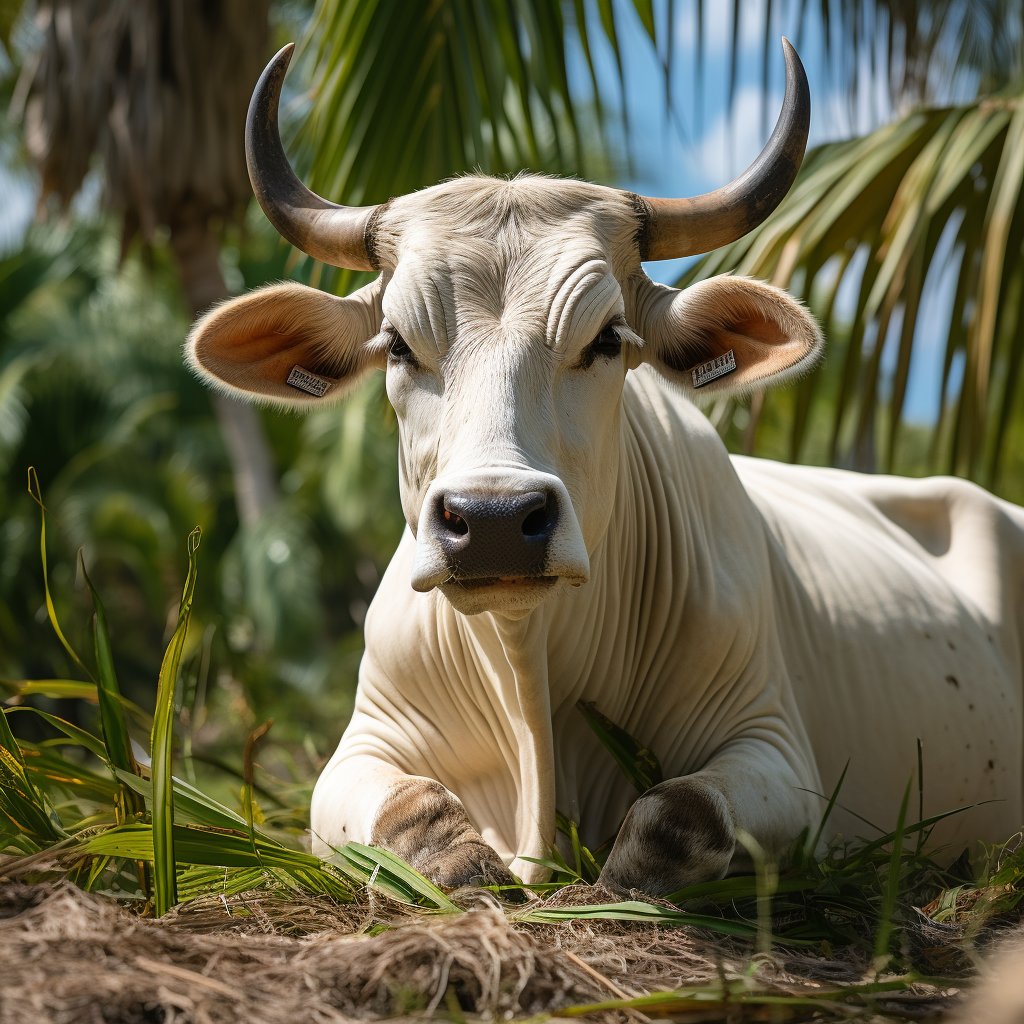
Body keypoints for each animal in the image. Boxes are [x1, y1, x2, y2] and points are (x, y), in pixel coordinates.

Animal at [187, 40, 1024, 897]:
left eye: (607, 338)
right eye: (396, 344)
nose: (493, 522)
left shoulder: (776, 748)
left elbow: (681, 813)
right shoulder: (357, 752)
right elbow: (413, 815)